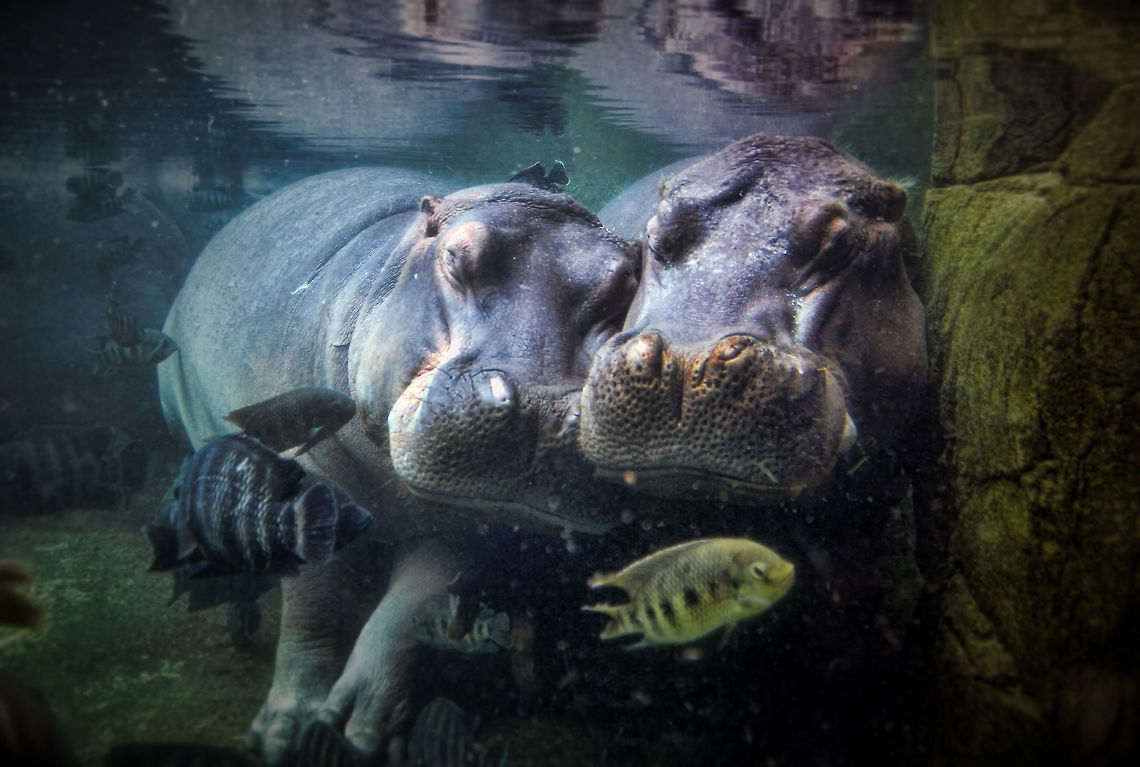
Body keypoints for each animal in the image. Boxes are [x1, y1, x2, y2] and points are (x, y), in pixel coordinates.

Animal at [158, 168, 638, 762]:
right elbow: (313, 603)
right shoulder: (309, 481)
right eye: (455, 257)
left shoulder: (465, 524)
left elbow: (409, 611)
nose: (545, 409)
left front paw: (356, 732)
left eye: (628, 283)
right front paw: (285, 732)